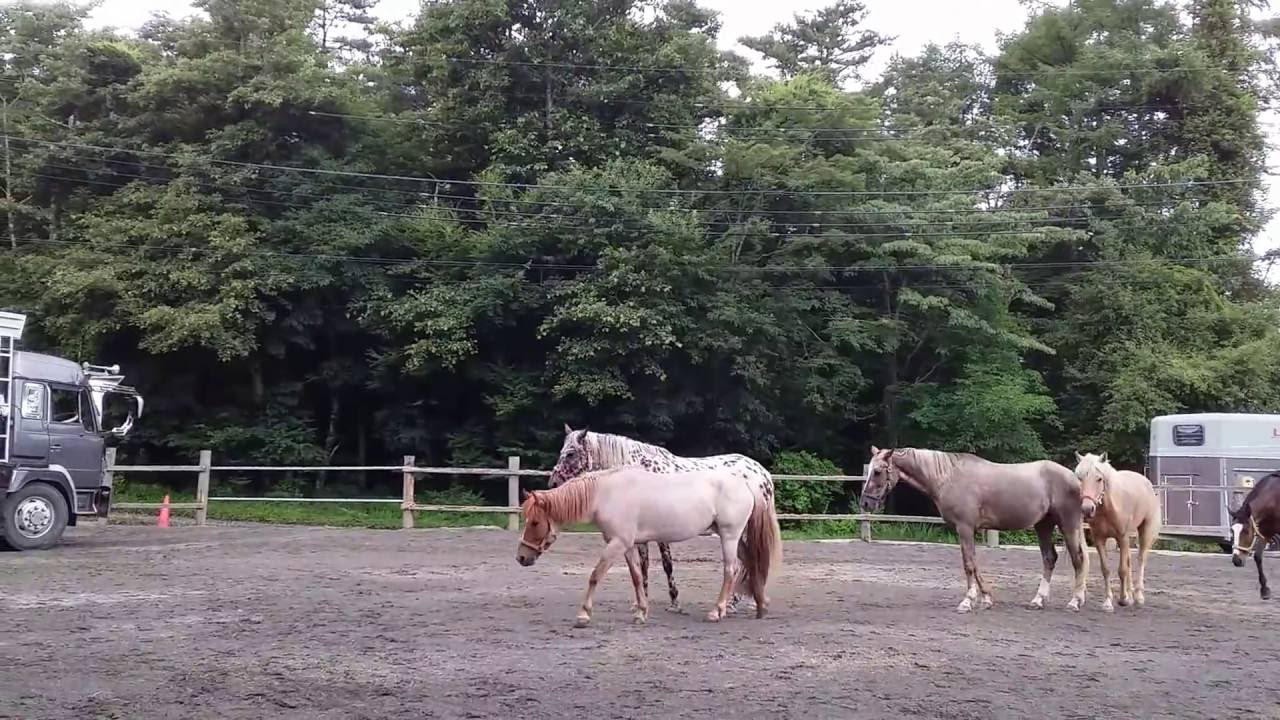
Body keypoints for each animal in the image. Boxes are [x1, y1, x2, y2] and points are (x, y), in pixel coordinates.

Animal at [515, 466, 783, 627]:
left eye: (535, 522)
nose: (521, 557)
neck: (606, 493)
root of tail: (748, 484)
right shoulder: (628, 545)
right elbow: (636, 577)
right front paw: (641, 612)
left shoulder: (617, 543)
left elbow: (595, 575)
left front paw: (583, 614)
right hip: (734, 537)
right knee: (751, 562)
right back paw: (761, 606)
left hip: (729, 535)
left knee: (731, 570)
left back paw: (717, 612)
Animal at [548, 424, 775, 614]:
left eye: (570, 453)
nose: (553, 483)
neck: (638, 468)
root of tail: (761, 472)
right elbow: (642, 567)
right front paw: (640, 602)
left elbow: (666, 565)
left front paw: (674, 602)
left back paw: (733, 604)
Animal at [860, 446, 1089, 613]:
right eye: (869, 471)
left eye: (878, 472)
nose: (865, 503)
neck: (948, 477)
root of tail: (1074, 478)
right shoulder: (967, 531)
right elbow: (974, 563)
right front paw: (986, 599)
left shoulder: (965, 528)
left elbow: (969, 564)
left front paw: (967, 601)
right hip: (1044, 525)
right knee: (1049, 558)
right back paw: (1038, 600)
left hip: (1068, 524)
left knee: (1078, 559)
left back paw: (1074, 602)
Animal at [1072, 451, 1162, 611]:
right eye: (1079, 478)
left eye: (1099, 478)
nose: (1087, 509)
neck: (1108, 509)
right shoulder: (1099, 539)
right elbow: (1106, 569)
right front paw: (1108, 602)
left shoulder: (1122, 537)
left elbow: (1122, 570)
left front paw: (1123, 599)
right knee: (1130, 561)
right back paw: (1131, 595)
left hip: (1145, 531)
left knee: (1141, 560)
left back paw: (1138, 597)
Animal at [1229, 471, 1280, 600]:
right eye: (1232, 530)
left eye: (1246, 531)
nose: (1237, 560)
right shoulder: (1266, 532)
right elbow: (1258, 557)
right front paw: (1265, 590)